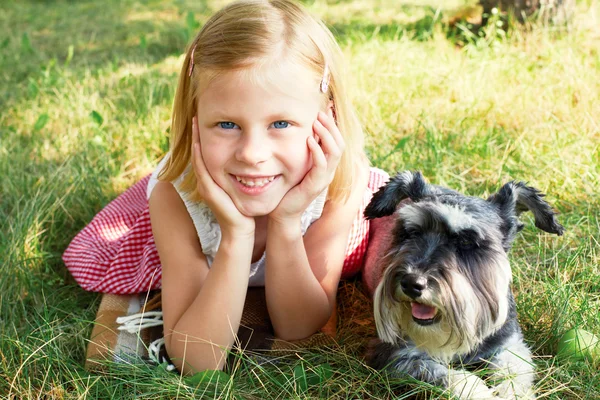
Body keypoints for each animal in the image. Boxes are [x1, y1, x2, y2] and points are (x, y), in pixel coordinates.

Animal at [364, 171, 564, 400]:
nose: (412, 283)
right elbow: (457, 379)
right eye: (411, 233)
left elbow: (514, 375)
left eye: (467, 242)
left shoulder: (510, 344)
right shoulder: (398, 356)